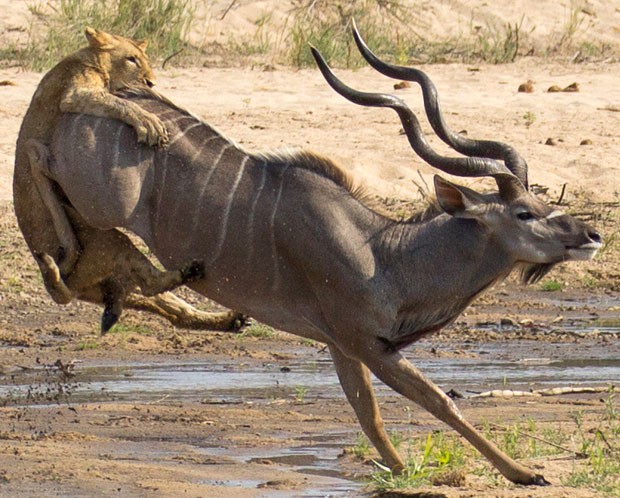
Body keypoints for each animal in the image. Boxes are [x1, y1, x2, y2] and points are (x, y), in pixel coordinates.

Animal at [32, 28, 600, 486]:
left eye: (543, 202)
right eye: (525, 212)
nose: (591, 234)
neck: (385, 254)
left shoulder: (340, 345)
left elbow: (369, 415)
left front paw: (400, 470)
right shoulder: (366, 342)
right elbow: (438, 401)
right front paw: (525, 473)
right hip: (100, 199)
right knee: (45, 179)